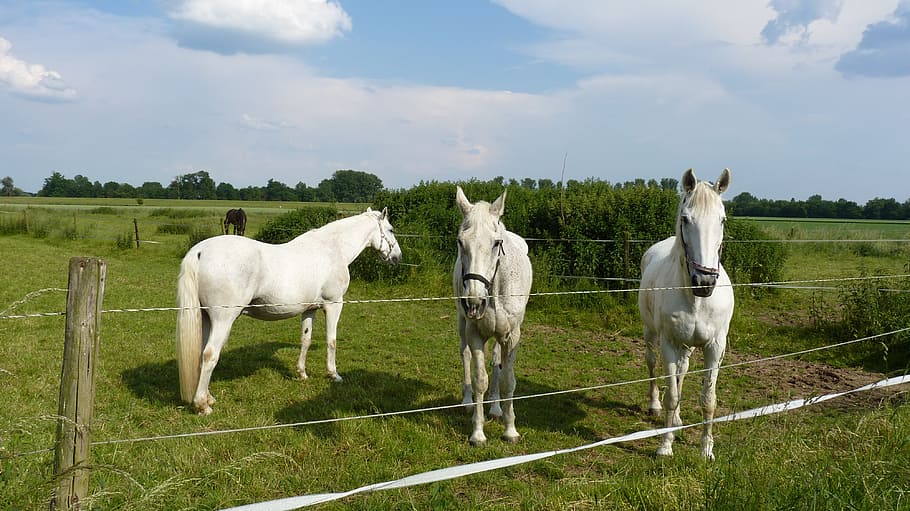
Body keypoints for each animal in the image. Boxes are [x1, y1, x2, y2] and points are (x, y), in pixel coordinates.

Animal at [176, 207, 402, 415]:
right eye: (391, 229)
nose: (397, 257)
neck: (332, 249)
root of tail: (200, 251)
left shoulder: (309, 310)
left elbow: (306, 340)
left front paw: (302, 373)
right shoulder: (334, 305)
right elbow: (332, 341)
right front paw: (334, 375)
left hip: (205, 318)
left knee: (201, 354)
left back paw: (209, 398)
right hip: (223, 320)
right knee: (210, 355)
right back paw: (202, 405)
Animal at [453, 186, 533, 446]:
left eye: (497, 243)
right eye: (460, 242)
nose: (474, 302)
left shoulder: (512, 336)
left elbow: (508, 380)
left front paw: (510, 430)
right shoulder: (474, 333)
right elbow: (480, 379)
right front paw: (477, 433)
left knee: (496, 362)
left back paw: (496, 408)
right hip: (462, 325)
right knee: (465, 355)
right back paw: (467, 402)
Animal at [638, 168, 734, 459]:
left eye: (722, 219)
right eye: (685, 219)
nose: (704, 282)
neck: (697, 300)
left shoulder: (715, 347)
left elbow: (708, 399)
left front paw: (706, 449)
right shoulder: (669, 344)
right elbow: (671, 396)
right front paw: (665, 445)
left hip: (687, 346)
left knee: (682, 371)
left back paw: (679, 420)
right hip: (652, 335)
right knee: (652, 365)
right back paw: (655, 406)